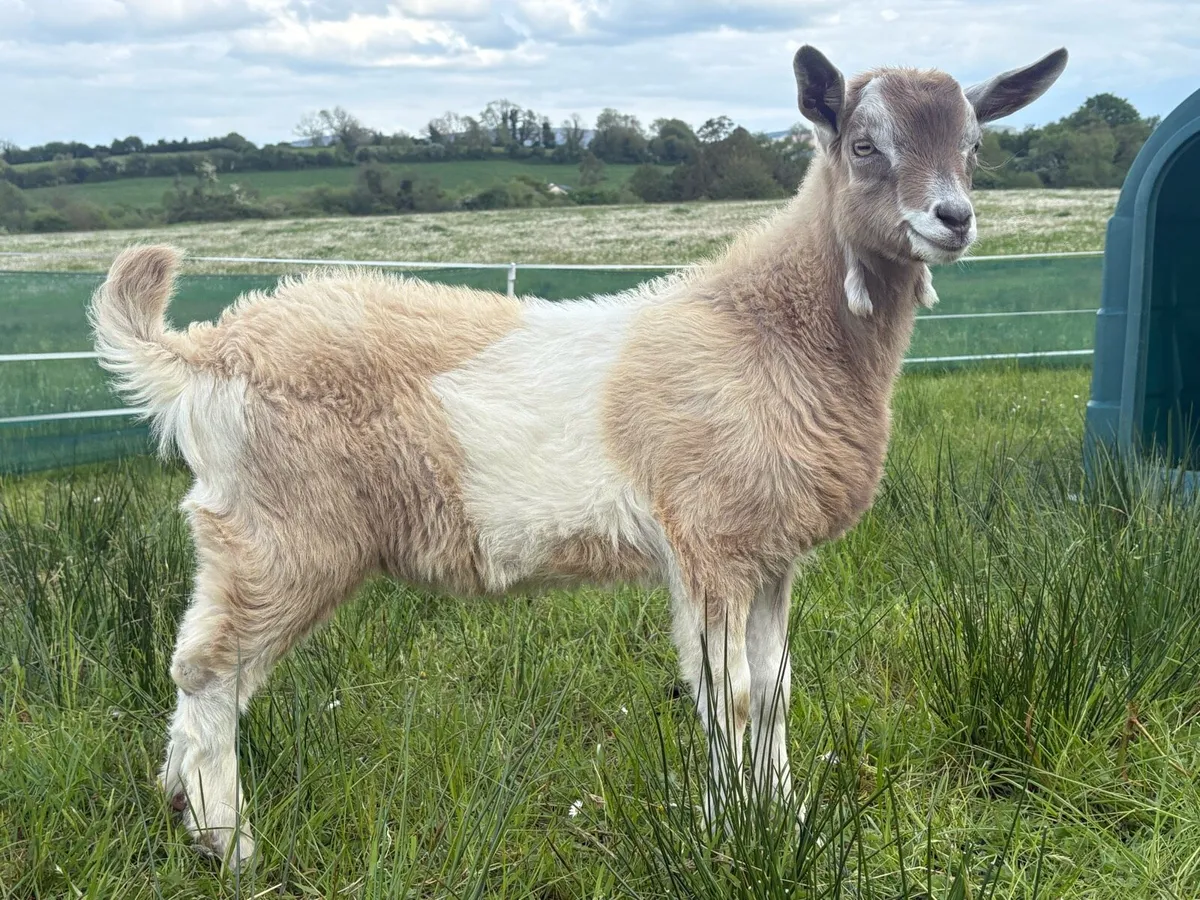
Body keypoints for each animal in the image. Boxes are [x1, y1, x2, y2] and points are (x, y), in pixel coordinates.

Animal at [90, 44, 1067, 867]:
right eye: (865, 145)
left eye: (977, 148)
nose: (953, 218)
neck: (768, 328)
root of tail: (208, 351)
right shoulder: (709, 540)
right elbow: (728, 694)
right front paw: (734, 838)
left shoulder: (770, 552)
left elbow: (775, 688)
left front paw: (784, 821)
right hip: (279, 533)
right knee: (209, 671)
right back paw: (229, 843)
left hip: (247, 535)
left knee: (198, 668)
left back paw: (179, 806)